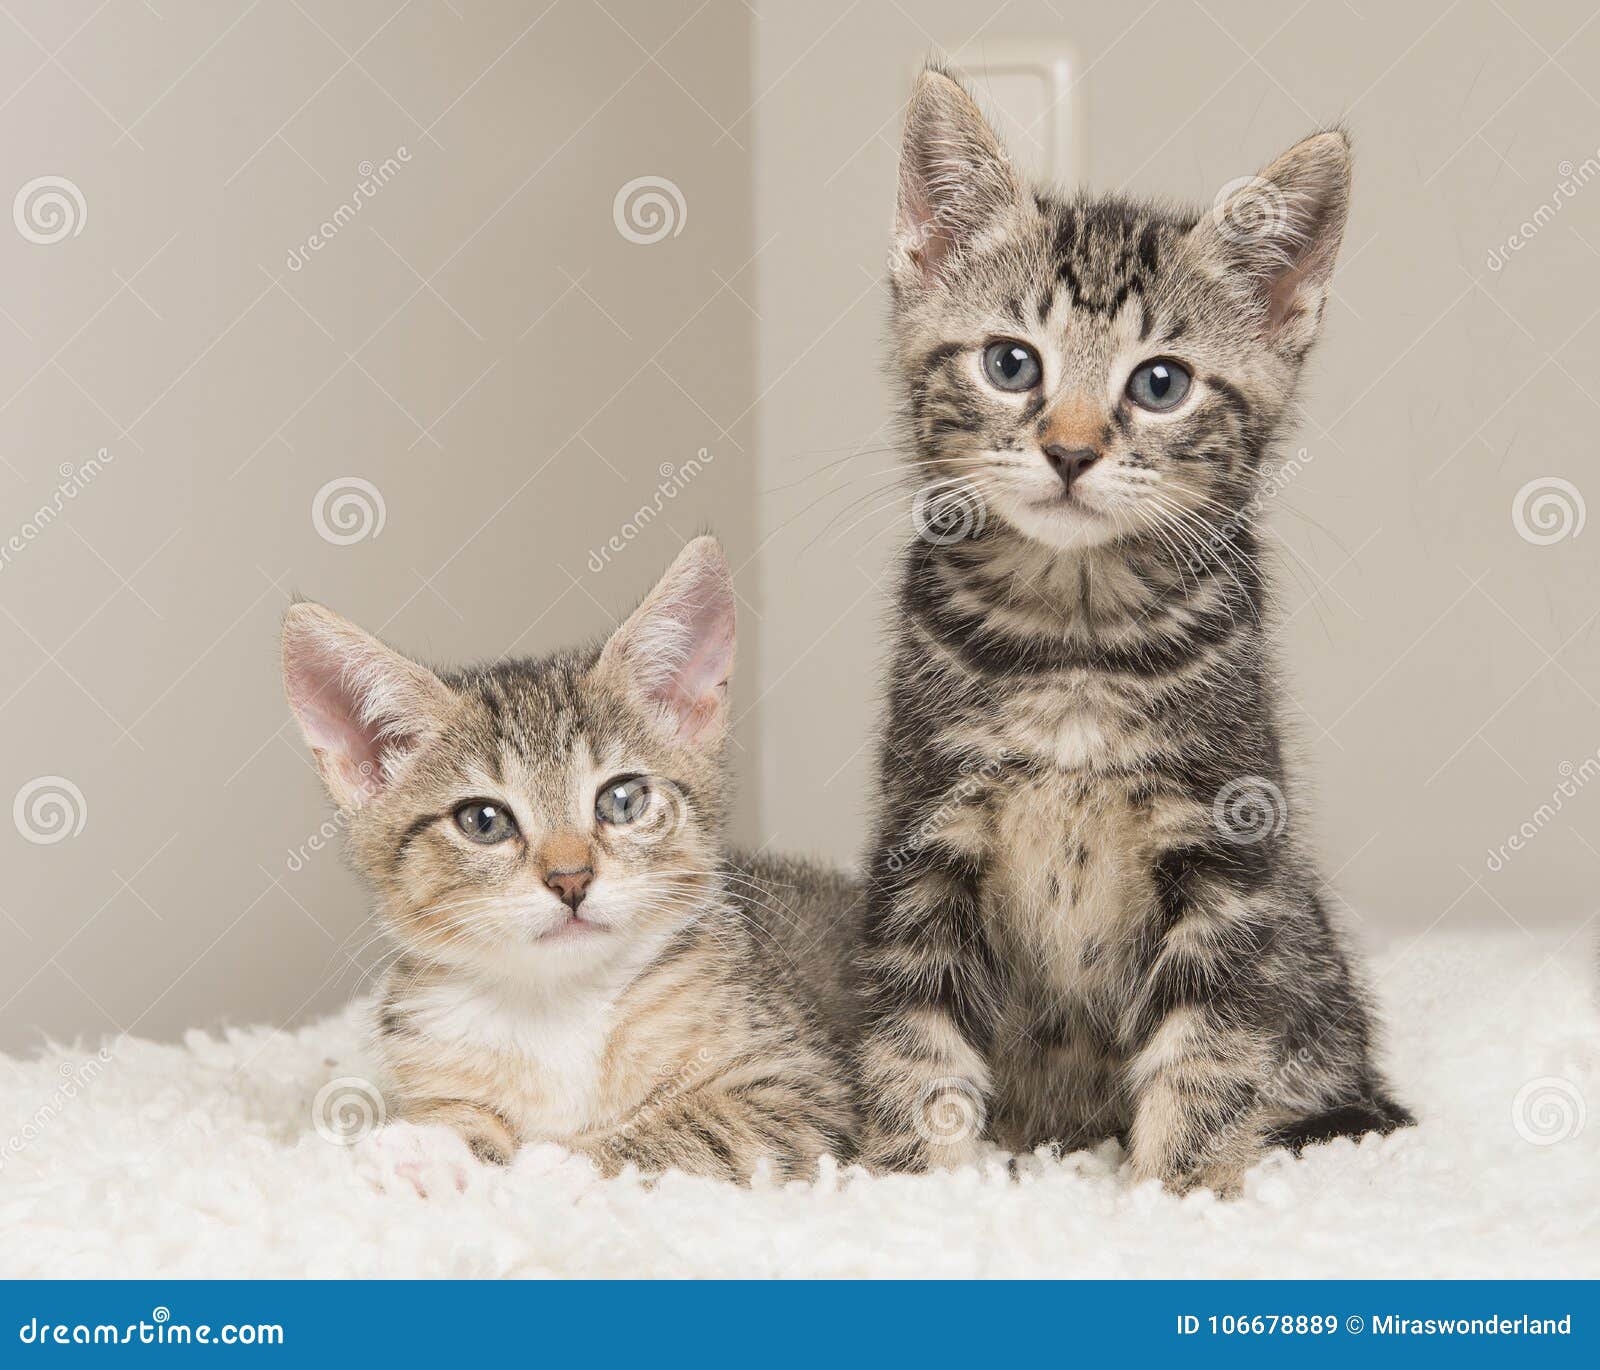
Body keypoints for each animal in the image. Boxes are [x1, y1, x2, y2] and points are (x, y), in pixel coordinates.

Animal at [281, 540, 857, 1184]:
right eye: (483, 821)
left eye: (622, 800)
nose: (571, 879)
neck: (559, 1004)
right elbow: (460, 1115)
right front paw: (433, 1146)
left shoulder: (803, 1092)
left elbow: (694, 1131)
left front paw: (555, 1163)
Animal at [864, 69, 1414, 1190]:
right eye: (1010, 364)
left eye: (1160, 382)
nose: (1071, 450)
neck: (1075, 635)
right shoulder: (923, 835)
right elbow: (915, 1041)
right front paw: (908, 1187)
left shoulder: (1228, 850)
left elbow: (1210, 1050)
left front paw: (1177, 1193)